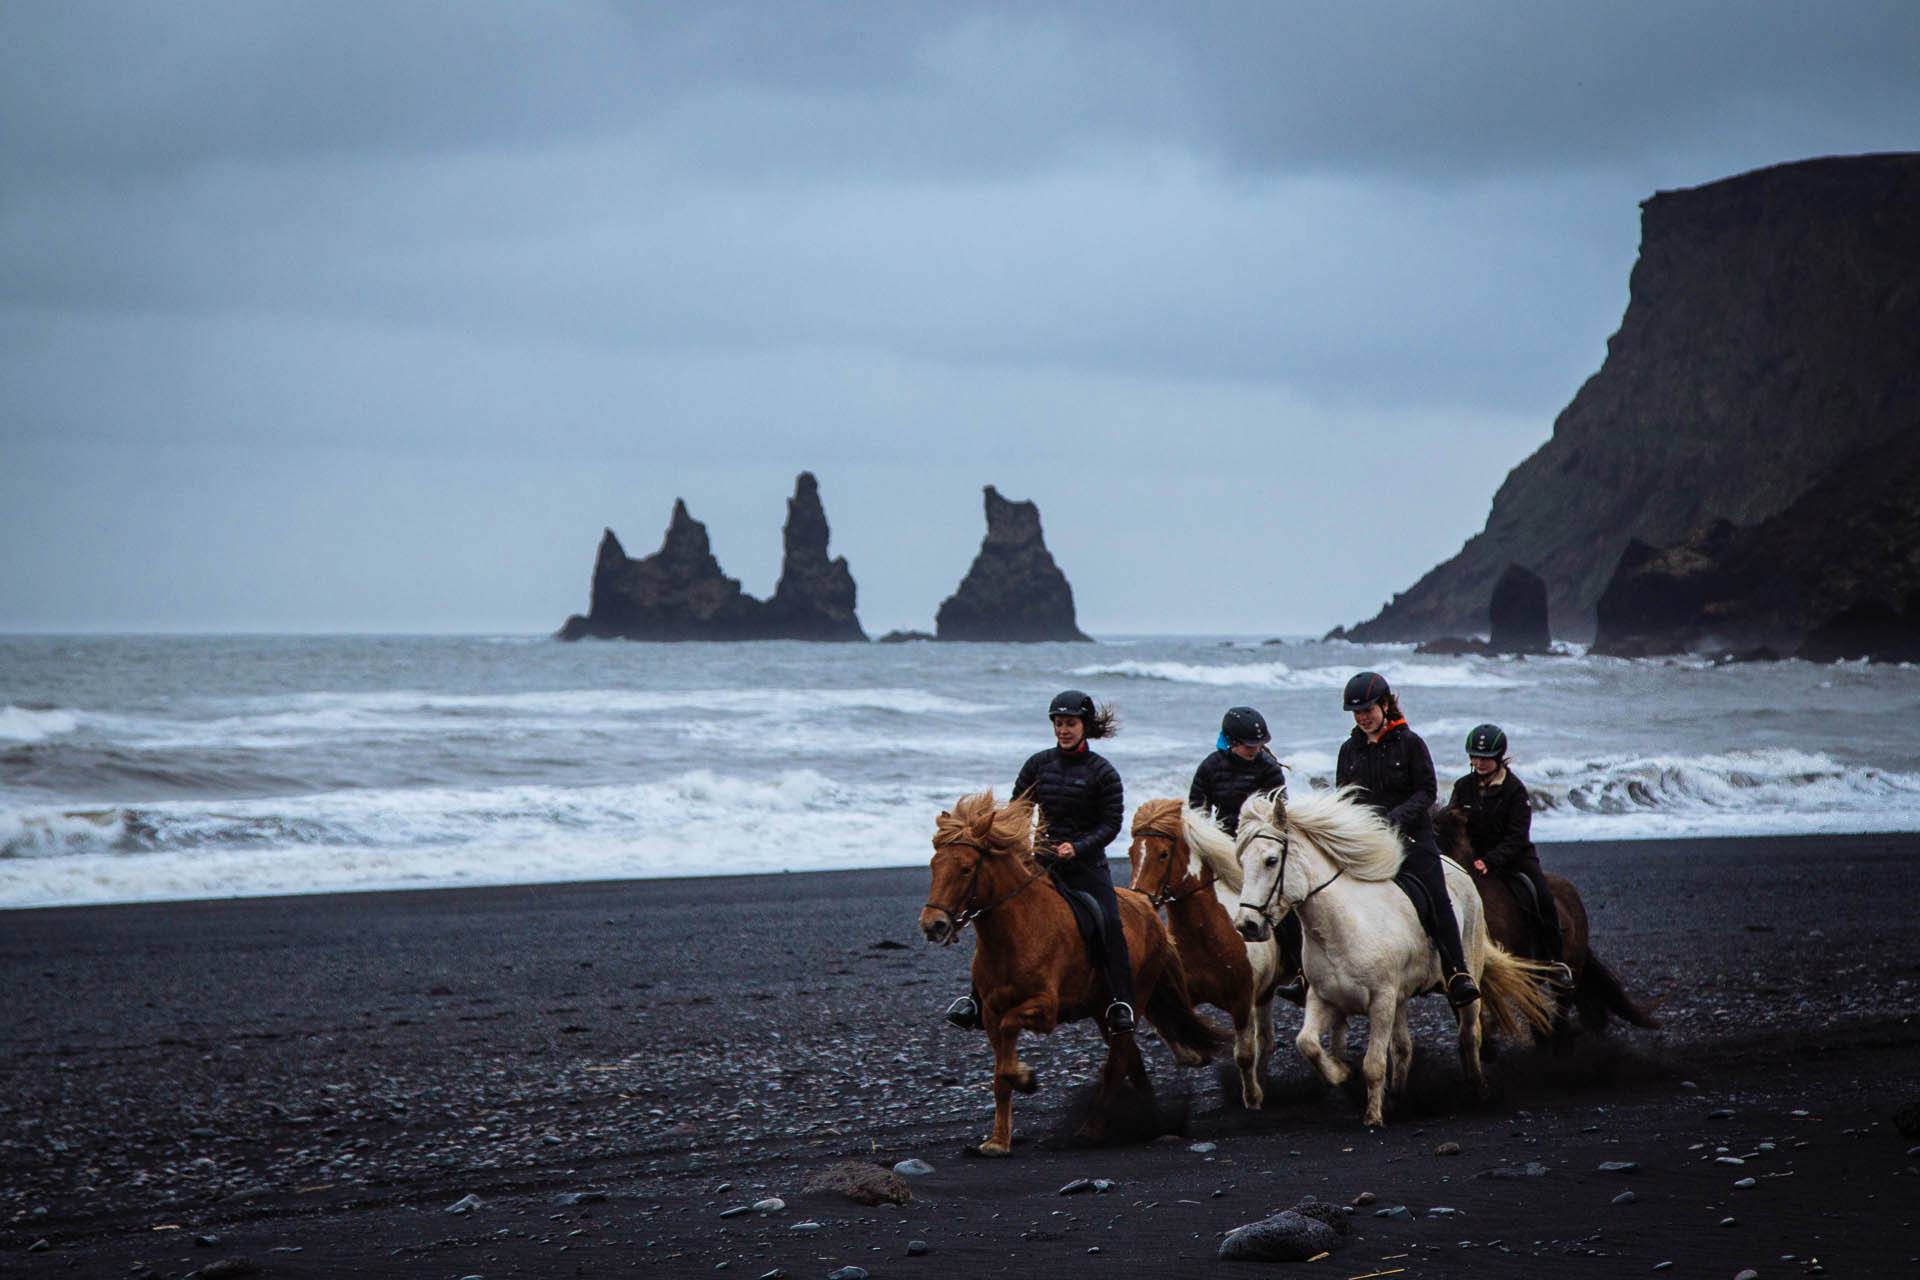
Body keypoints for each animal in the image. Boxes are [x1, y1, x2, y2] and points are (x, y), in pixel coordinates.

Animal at [921, 786, 1221, 1159]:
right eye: (934, 865)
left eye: (965, 869)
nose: (933, 925)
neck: (1016, 931)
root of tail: (1148, 909)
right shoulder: (989, 1013)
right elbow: (999, 1074)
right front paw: (997, 1141)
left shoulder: (1044, 1009)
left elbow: (1009, 1043)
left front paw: (1025, 1078)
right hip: (1100, 1008)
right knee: (1131, 1059)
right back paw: (1148, 1121)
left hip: (1131, 1000)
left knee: (1119, 1060)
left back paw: (1091, 1130)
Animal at [1121, 802, 1282, 1113]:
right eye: (1131, 852)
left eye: (1163, 853)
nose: (1141, 901)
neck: (1208, 937)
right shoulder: (1181, 994)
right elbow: (1168, 1027)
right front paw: (1194, 1056)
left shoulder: (1242, 1001)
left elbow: (1244, 1054)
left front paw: (1252, 1098)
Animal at [1198, 786, 1559, 1128]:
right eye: (1242, 862)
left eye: (1271, 860)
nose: (1247, 925)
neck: (1340, 927)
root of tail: (1459, 870)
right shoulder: (1323, 998)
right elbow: (1307, 1043)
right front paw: (1342, 1074)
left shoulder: (1381, 1001)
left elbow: (1373, 1064)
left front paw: (1372, 1116)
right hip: (1399, 999)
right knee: (1403, 1047)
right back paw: (1400, 1096)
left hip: (1463, 981)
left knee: (1469, 1035)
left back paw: (1477, 1091)